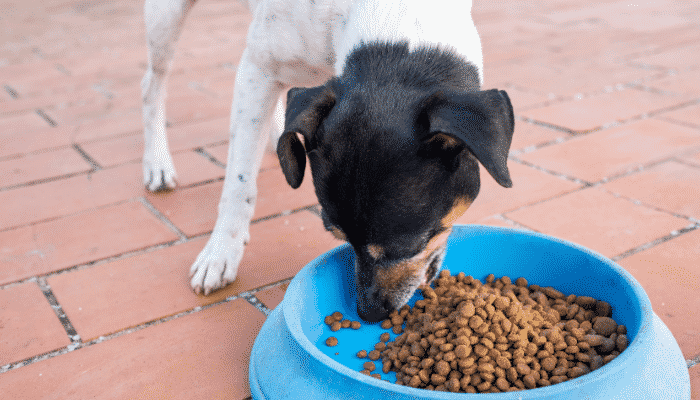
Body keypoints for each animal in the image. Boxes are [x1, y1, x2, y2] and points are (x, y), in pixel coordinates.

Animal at [142, 0, 516, 320]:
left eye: (410, 245)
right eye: (337, 236)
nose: (368, 314)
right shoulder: (258, 68)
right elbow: (238, 181)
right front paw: (220, 252)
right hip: (166, 19)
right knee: (152, 82)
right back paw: (157, 164)